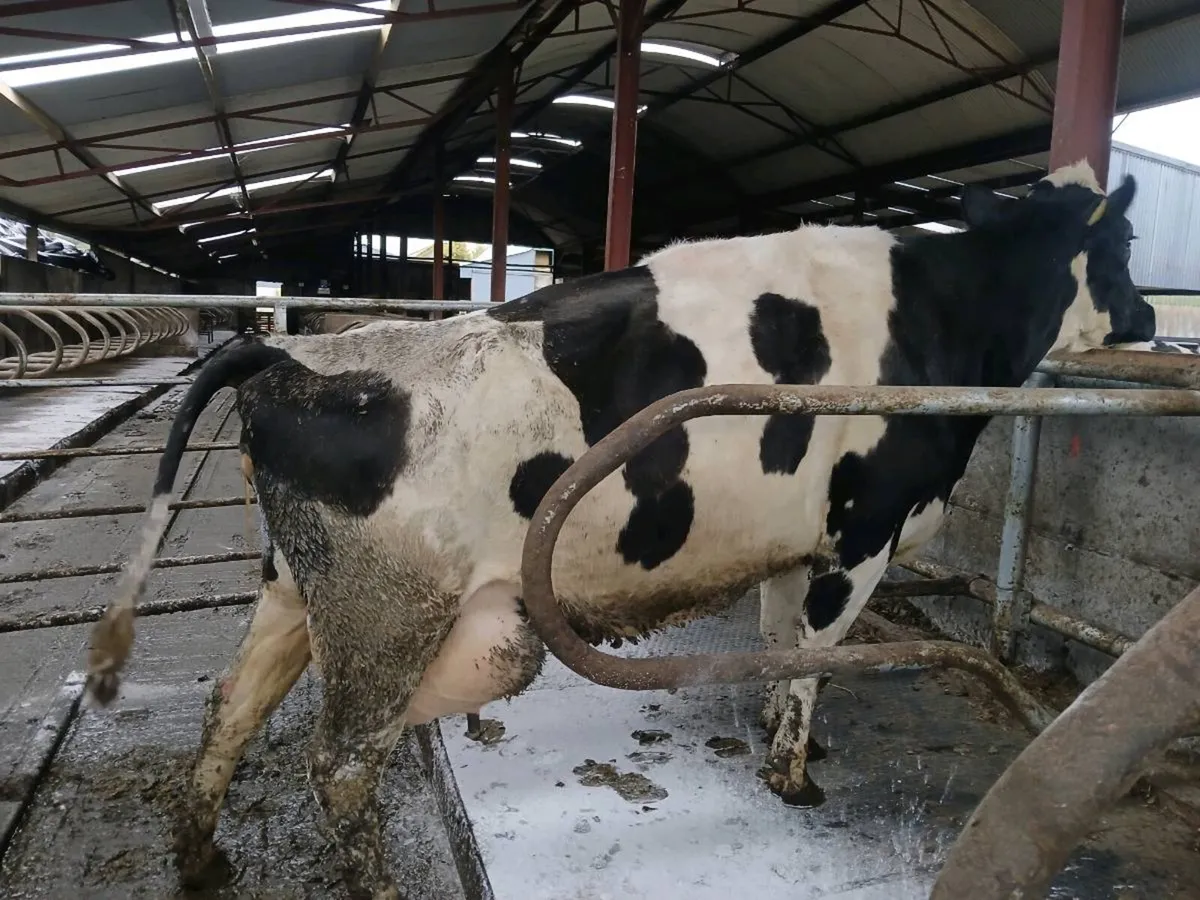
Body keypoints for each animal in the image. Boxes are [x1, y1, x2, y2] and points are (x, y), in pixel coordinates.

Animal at [84, 160, 1153, 900]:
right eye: (1125, 250)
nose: (1148, 314)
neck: (944, 316)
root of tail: (291, 358)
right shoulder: (862, 534)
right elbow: (815, 657)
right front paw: (793, 777)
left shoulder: (797, 542)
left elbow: (780, 647)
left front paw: (788, 745)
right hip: (388, 615)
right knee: (340, 765)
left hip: (296, 591)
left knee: (231, 708)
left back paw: (201, 862)